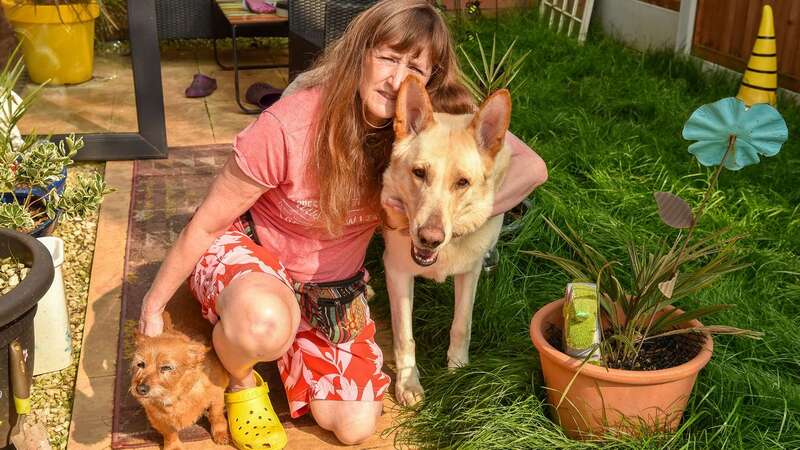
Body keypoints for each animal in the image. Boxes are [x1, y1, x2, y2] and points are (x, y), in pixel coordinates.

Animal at [382, 75, 512, 406]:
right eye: (419, 172)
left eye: (462, 182)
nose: (429, 239)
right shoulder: (397, 272)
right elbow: (405, 335)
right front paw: (408, 383)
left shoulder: (469, 272)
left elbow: (461, 325)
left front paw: (459, 372)